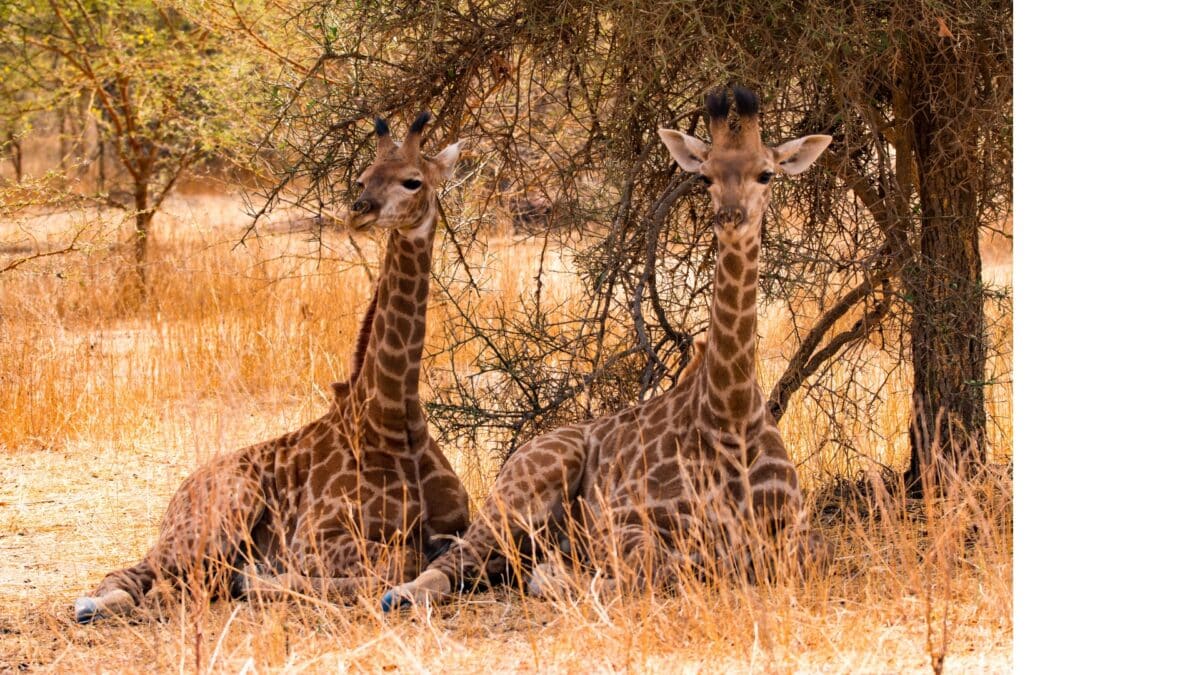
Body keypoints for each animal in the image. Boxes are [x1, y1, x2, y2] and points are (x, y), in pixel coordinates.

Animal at [72, 110, 470, 619]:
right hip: (226, 507)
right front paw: (264, 581)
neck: (391, 416)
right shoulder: (314, 540)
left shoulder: (461, 524)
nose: (358, 210)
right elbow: (396, 562)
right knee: (143, 575)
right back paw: (105, 602)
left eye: (412, 181)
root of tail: (179, 493)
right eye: (362, 177)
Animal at [384, 86, 835, 607]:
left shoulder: (796, 532)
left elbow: (805, 553)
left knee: (490, 564)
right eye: (704, 176)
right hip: (526, 483)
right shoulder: (621, 522)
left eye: (766, 173)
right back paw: (404, 593)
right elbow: (656, 568)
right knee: (453, 561)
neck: (730, 416)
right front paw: (562, 579)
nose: (730, 217)